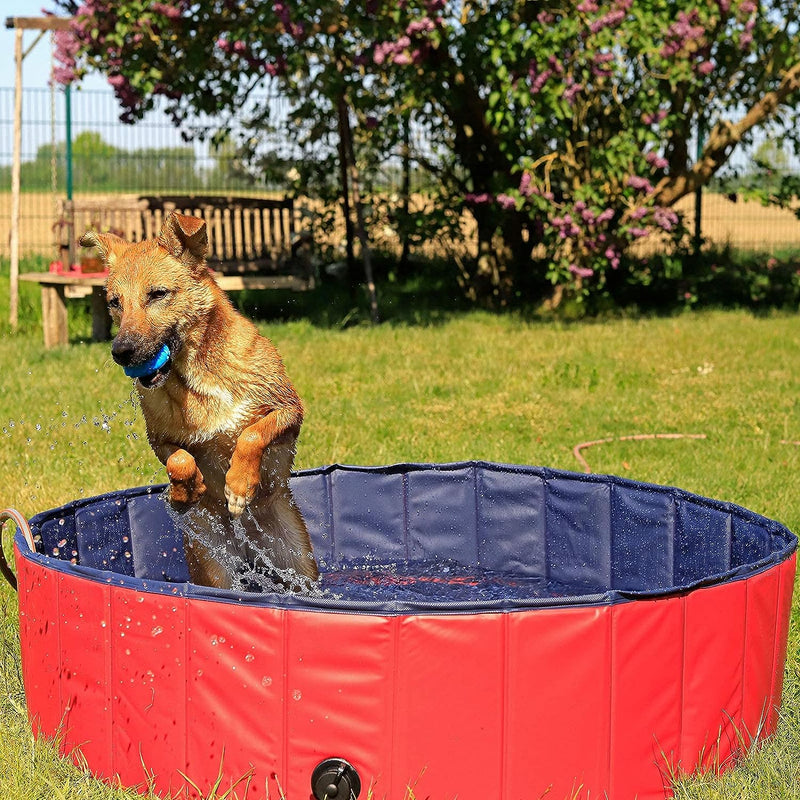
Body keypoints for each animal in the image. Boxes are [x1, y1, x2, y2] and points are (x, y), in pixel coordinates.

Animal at [79, 211, 318, 588]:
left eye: (158, 294)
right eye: (115, 302)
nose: (121, 352)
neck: (197, 375)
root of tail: (245, 547)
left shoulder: (288, 410)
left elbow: (252, 434)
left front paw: (238, 485)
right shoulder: (159, 438)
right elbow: (179, 461)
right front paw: (183, 493)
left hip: (298, 563)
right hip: (213, 566)